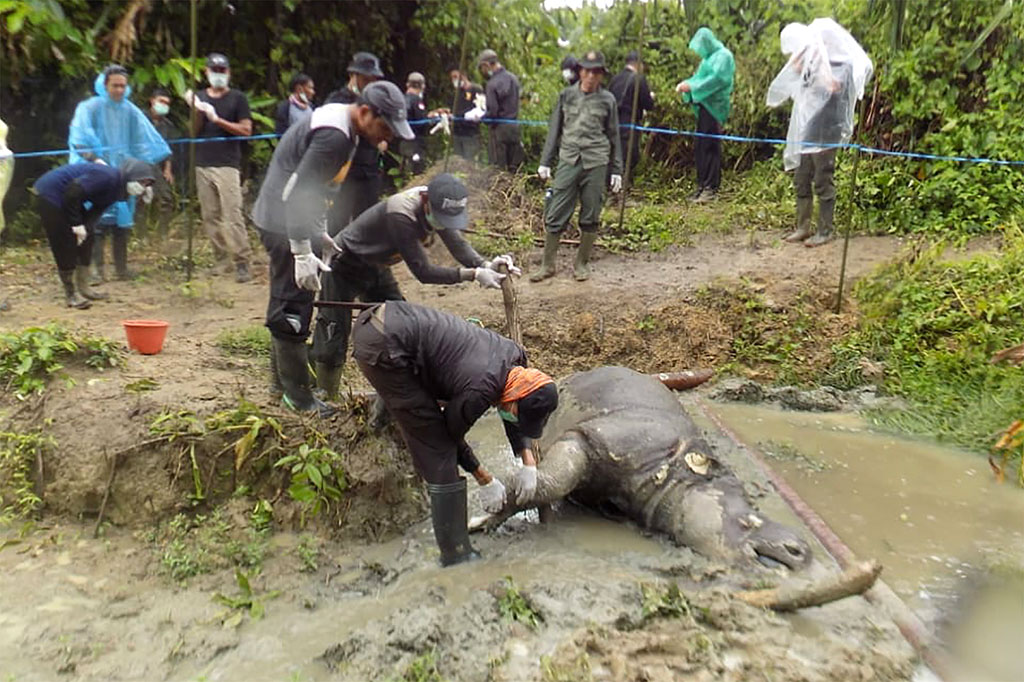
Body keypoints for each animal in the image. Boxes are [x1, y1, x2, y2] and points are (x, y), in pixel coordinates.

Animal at [485, 366, 813, 572]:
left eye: (754, 503)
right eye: (748, 520)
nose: (802, 550)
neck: (673, 473)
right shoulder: (598, 437)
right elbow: (555, 479)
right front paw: (485, 518)